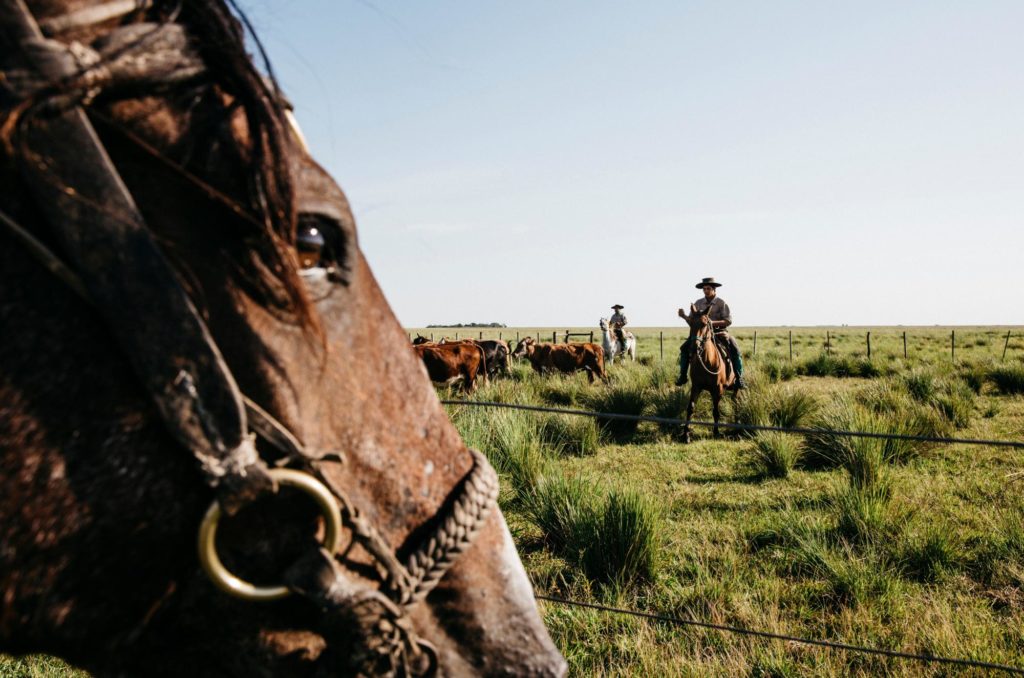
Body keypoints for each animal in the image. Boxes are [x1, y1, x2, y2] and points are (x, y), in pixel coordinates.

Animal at [679, 303, 737, 444]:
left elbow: (715, 411)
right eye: (690, 323)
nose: (694, 348)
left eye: (705, 324)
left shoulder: (717, 389)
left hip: (735, 386)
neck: (707, 361)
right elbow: (690, 408)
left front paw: (716, 432)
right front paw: (686, 434)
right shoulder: (696, 387)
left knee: (735, 401)